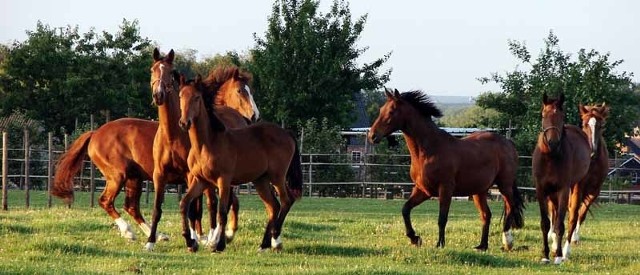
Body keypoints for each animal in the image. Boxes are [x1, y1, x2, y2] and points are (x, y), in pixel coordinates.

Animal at [146, 49, 262, 252]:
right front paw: (150, 241)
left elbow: (195, 208)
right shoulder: (159, 174)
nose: (158, 94)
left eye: (170, 72)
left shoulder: (191, 175)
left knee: (219, 203)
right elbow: (157, 209)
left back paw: (216, 237)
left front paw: (194, 239)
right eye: (153, 70)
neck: (172, 135)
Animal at [176, 74, 304, 253]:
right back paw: (263, 245)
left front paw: (218, 244)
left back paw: (275, 239)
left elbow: (222, 211)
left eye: (197, 98)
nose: (184, 122)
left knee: (286, 201)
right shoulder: (200, 181)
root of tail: (286, 132)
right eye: (181, 96)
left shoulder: (223, 181)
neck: (207, 143)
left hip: (277, 177)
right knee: (273, 206)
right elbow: (184, 203)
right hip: (260, 181)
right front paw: (190, 242)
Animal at [368, 90, 524, 252]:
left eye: (392, 111)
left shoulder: (445, 189)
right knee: (486, 215)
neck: (429, 151)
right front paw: (414, 238)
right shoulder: (423, 190)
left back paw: (507, 242)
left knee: (510, 207)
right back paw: (482, 246)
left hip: (504, 185)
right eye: (381, 110)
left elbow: (442, 218)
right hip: (479, 191)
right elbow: (405, 209)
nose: (372, 135)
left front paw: (439, 244)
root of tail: (508, 143)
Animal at [528, 93, 592, 266]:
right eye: (543, 115)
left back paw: (564, 252)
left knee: (571, 218)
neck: (551, 157)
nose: (553, 143)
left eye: (561, 116)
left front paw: (557, 256)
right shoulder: (541, 190)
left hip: (575, 187)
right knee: (555, 216)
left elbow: (560, 225)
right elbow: (545, 223)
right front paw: (545, 255)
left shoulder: (563, 189)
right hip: (552, 193)